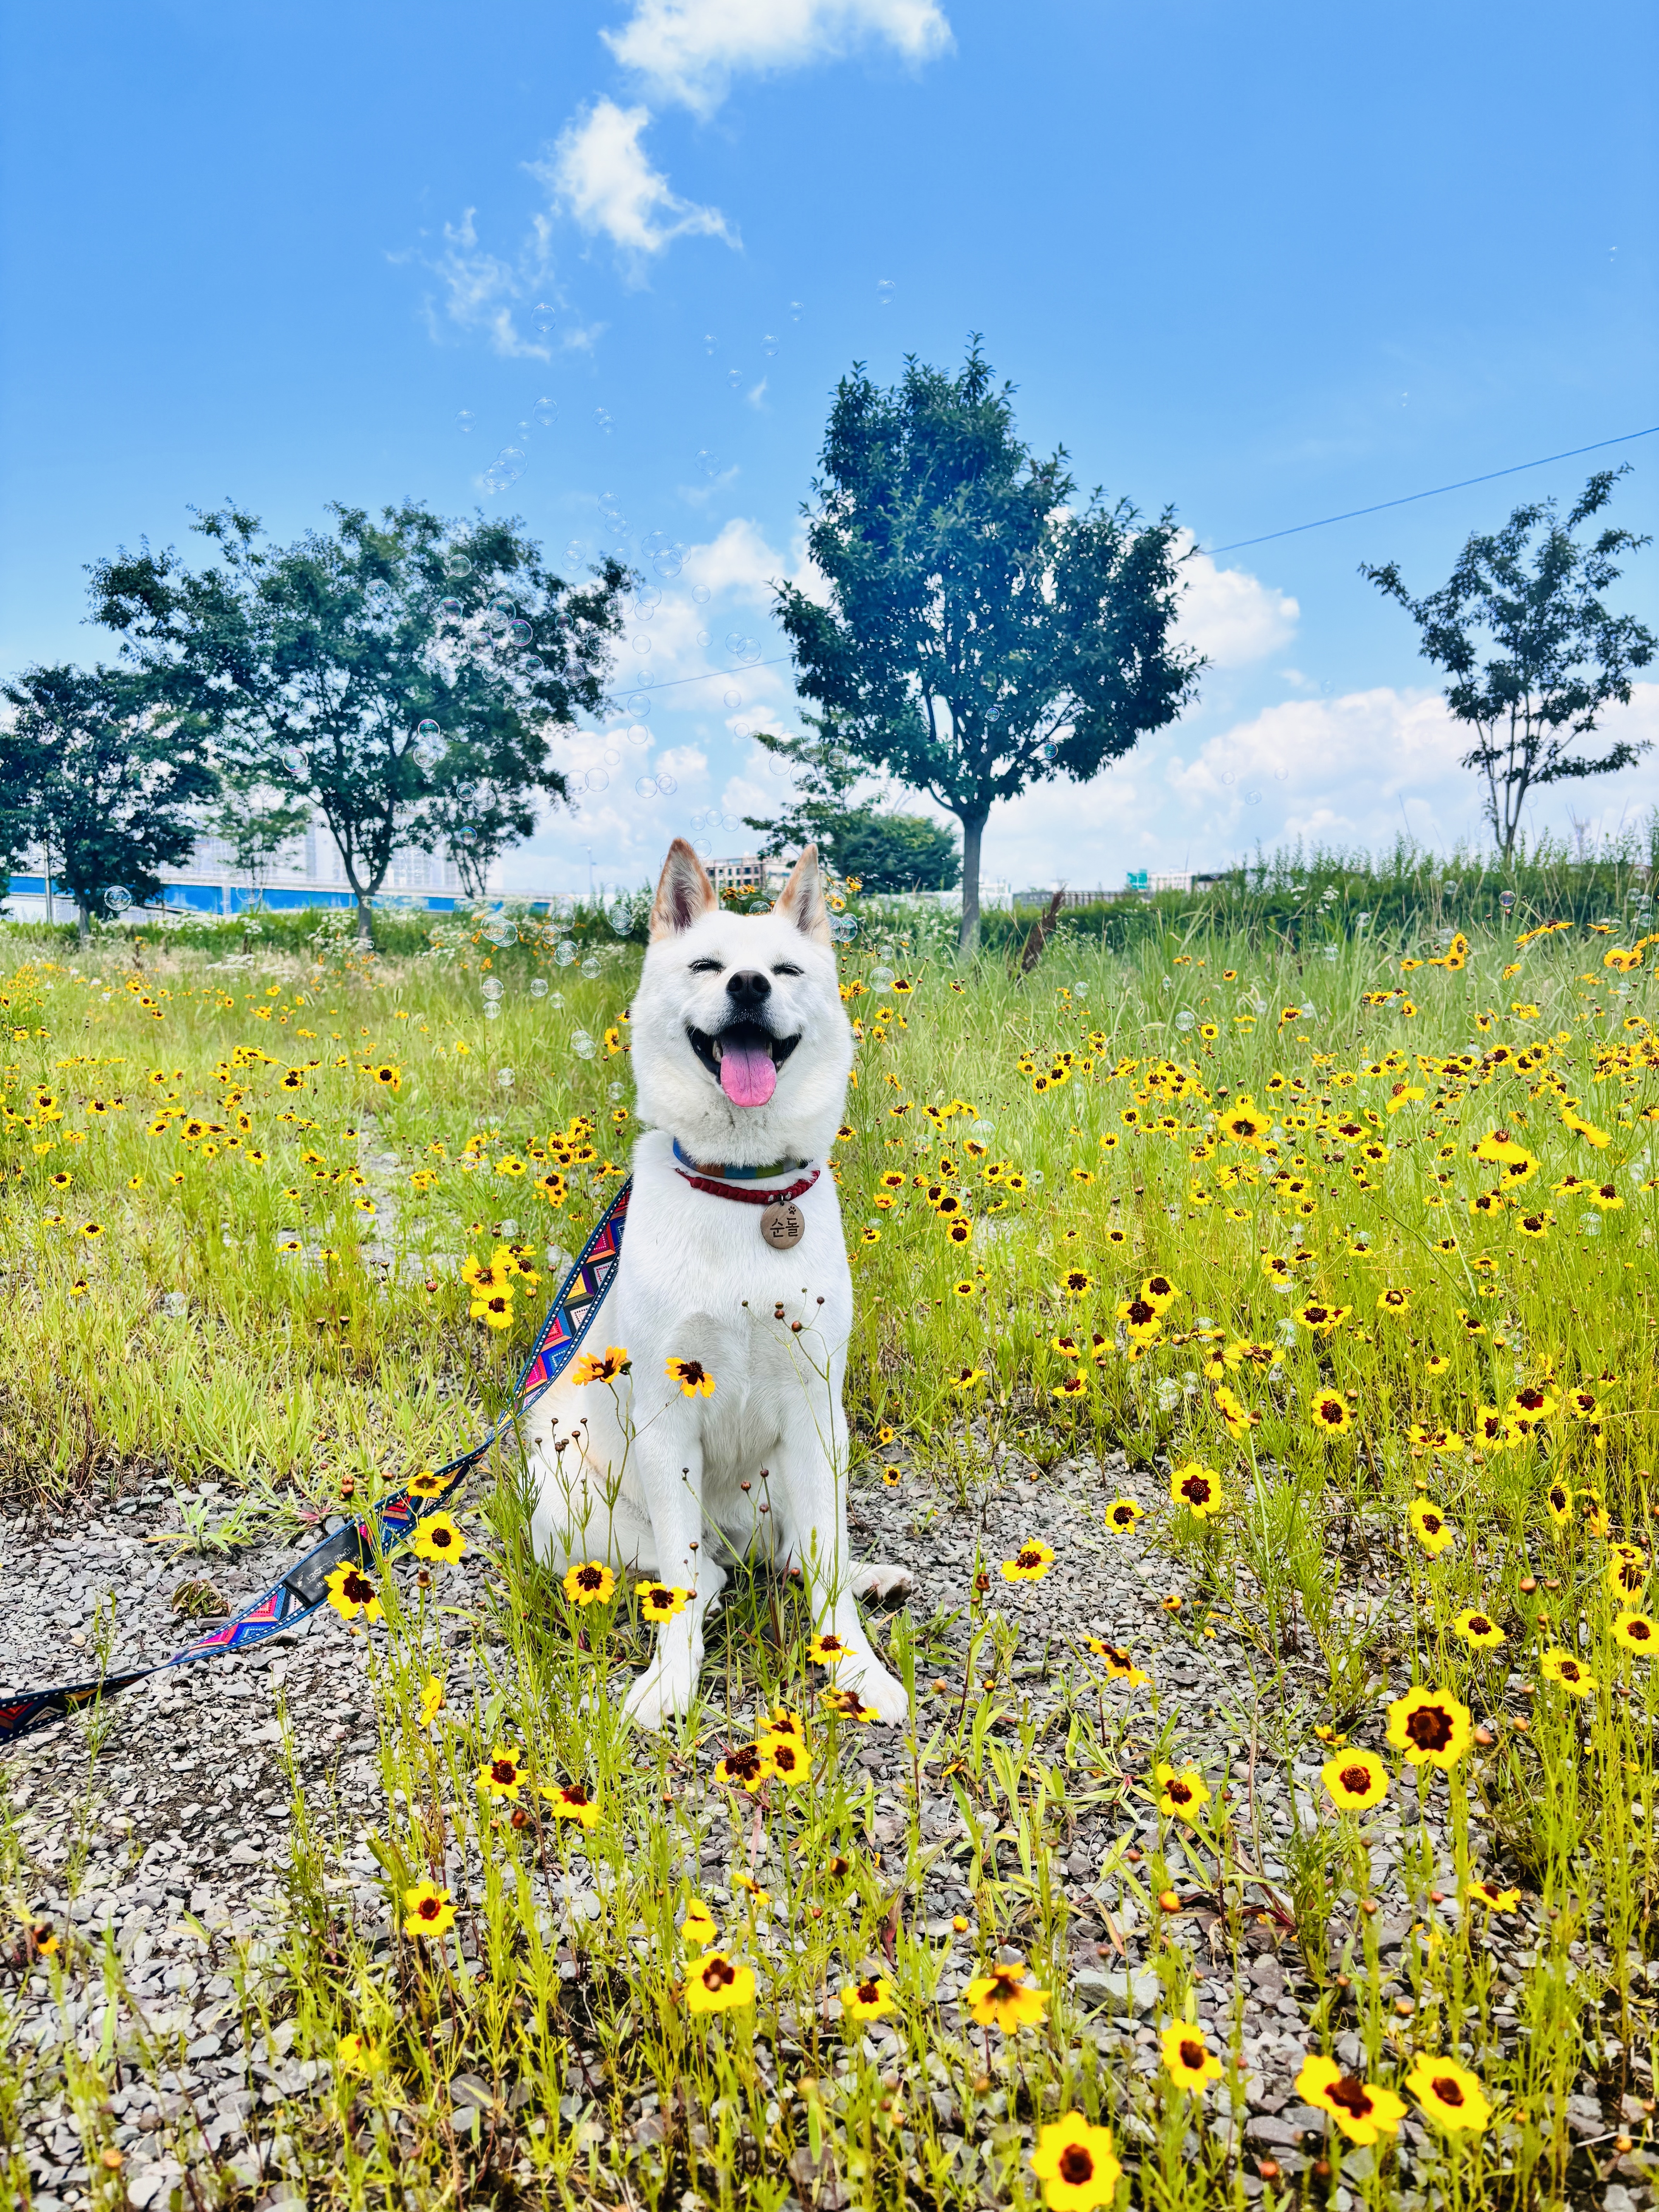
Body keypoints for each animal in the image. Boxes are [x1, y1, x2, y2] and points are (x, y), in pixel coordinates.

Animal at [529, 845, 911, 1725]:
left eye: (785, 969)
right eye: (707, 965)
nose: (747, 986)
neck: (743, 1189)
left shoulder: (812, 1409)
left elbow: (827, 1572)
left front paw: (854, 1667)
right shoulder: (668, 1422)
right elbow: (680, 1583)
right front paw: (673, 1677)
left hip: (816, 1463)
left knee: (799, 1555)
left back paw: (868, 1578)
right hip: (568, 1513)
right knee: (700, 1574)